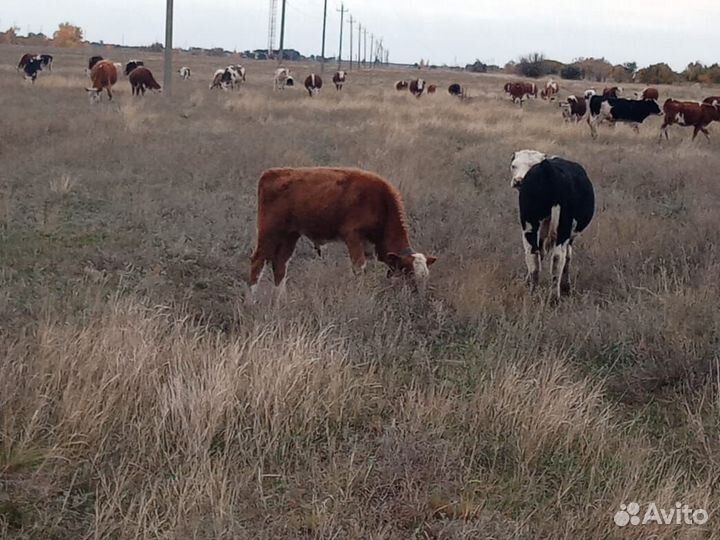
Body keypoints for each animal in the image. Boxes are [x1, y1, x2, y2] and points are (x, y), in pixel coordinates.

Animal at [249, 167, 437, 299]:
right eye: (410, 275)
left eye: (426, 277)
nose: (420, 298)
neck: (381, 203)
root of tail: (272, 173)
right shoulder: (353, 236)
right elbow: (359, 268)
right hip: (269, 232)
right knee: (258, 262)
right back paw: (252, 302)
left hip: (290, 235)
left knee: (280, 264)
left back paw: (281, 301)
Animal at [510, 150, 595, 301]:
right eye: (514, 165)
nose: (518, 181)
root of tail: (547, 168)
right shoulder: (569, 236)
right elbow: (567, 257)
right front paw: (566, 287)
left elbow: (541, 252)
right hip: (562, 228)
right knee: (557, 259)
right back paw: (555, 297)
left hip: (529, 226)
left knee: (533, 256)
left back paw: (532, 291)